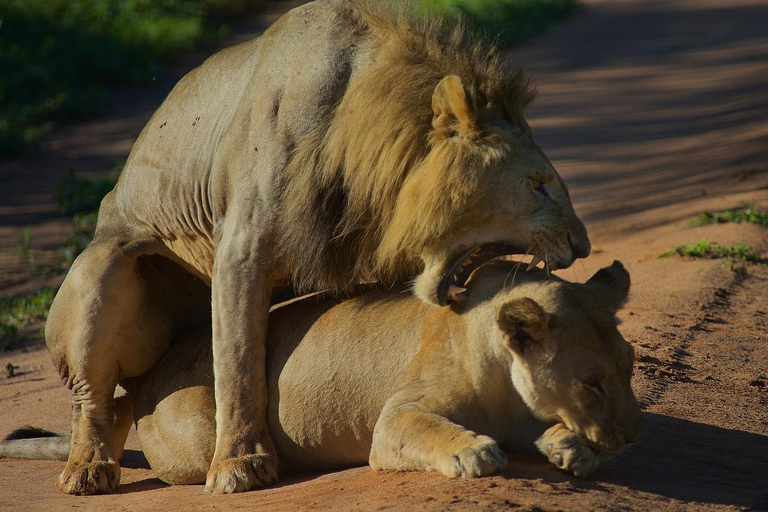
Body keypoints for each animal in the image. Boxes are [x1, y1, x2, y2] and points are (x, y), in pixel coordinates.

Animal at [4, 264, 640, 484]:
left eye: (629, 370)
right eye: (591, 382)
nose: (630, 438)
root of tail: (145, 382)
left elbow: (548, 430)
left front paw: (570, 447)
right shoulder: (395, 419)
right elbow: (430, 429)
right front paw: (473, 452)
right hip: (200, 428)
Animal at [43, 0, 588, 496]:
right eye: (538, 184)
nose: (581, 245)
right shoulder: (240, 249)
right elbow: (238, 363)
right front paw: (240, 464)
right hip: (101, 267)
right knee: (92, 398)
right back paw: (87, 468)